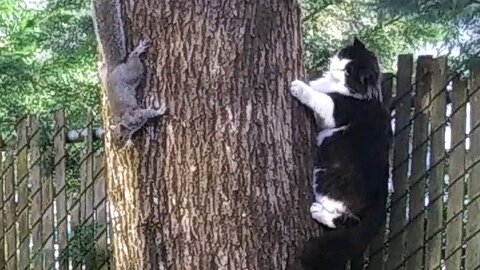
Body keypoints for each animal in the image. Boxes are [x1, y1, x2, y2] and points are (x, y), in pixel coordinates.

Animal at [91, 0, 166, 148]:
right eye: (112, 140)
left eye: (120, 137)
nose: (119, 148)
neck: (125, 123)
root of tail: (113, 70)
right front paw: (130, 142)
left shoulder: (137, 117)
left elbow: (148, 113)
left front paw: (159, 110)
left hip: (132, 72)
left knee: (133, 58)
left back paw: (139, 49)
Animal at [290, 38, 392, 270]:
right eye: (342, 57)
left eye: (348, 71)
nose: (335, 67)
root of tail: (381, 202)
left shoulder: (335, 110)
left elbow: (320, 98)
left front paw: (299, 86)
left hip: (327, 179)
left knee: (348, 223)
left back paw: (318, 211)